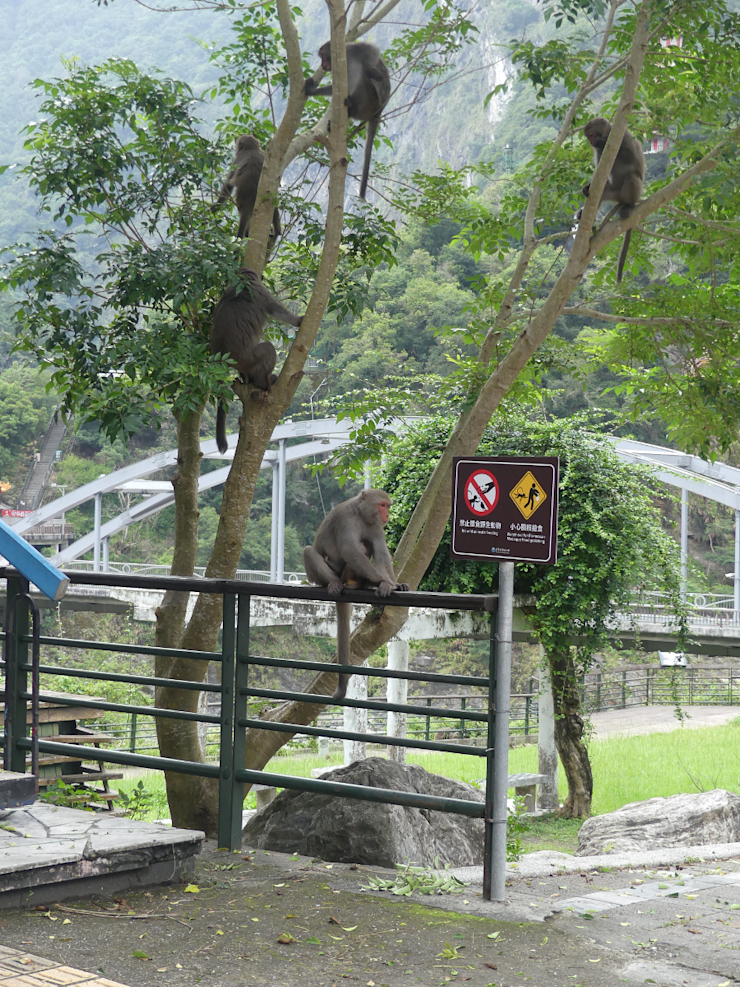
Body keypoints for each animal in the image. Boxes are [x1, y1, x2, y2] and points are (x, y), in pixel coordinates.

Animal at [208, 270, 304, 456]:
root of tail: (222, 356)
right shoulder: (260, 291)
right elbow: (276, 311)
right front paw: (297, 320)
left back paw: (249, 380)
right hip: (249, 358)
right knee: (268, 349)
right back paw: (262, 382)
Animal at [304, 42, 390, 200]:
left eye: (323, 56)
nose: (322, 65)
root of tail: (378, 113)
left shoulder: (351, 53)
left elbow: (372, 50)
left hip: (370, 104)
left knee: (364, 76)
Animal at [580, 118, 644, 286]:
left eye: (591, 134)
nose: (591, 142)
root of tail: (620, 198)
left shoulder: (624, 136)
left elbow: (631, 156)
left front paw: (604, 142)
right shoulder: (599, 153)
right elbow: (599, 174)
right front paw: (587, 187)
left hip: (629, 192)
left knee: (632, 176)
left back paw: (629, 205)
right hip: (612, 191)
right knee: (599, 192)